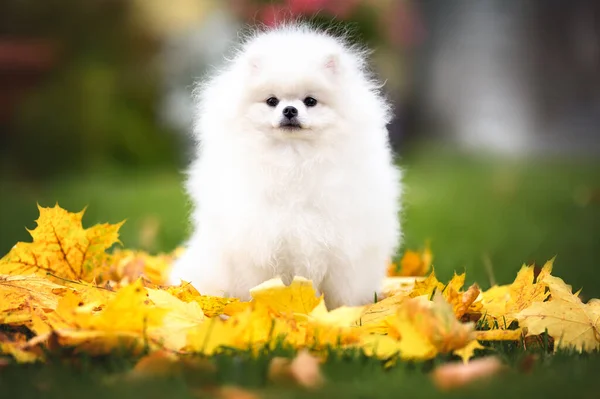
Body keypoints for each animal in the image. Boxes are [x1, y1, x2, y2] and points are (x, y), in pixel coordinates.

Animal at [170, 23, 404, 310]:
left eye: (310, 101)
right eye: (272, 101)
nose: (290, 110)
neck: (293, 160)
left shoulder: (342, 247)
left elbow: (341, 295)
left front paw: (340, 315)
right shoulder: (257, 241)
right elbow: (260, 286)